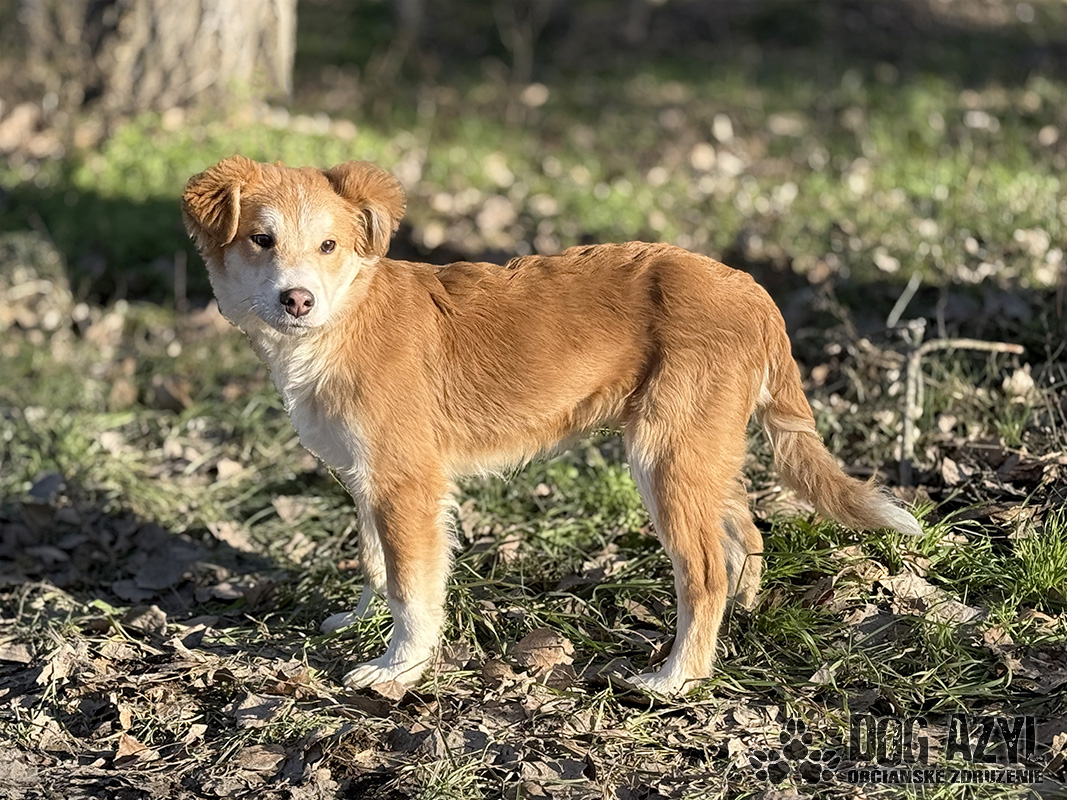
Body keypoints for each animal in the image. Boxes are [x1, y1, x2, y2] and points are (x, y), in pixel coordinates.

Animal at [182, 156, 921, 695]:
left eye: (329, 245)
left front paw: (399, 669)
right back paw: (737, 622)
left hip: (663, 454)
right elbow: (375, 563)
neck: (344, 318)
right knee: (745, 534)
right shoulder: (369, 478)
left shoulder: (406, 484)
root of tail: (751, 288)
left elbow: (412, 585)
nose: (297, 300)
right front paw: (357, 622)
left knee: (704, 570)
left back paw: (677, 678)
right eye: (261, 240)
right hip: (704, 450)